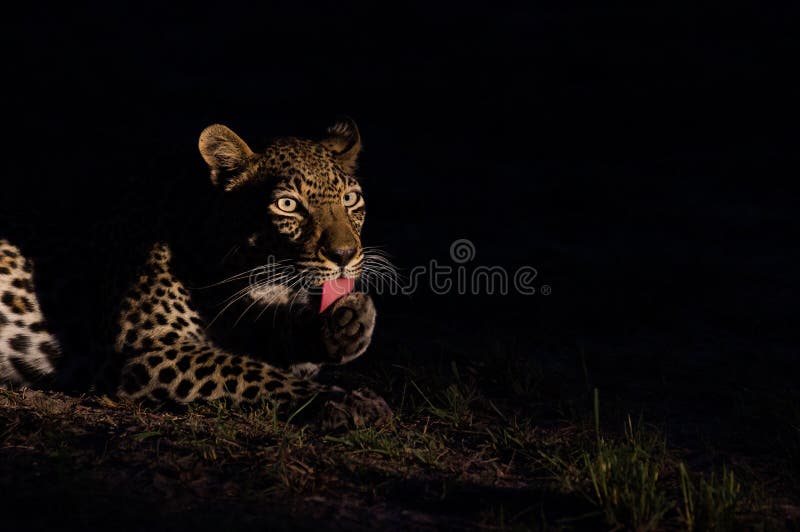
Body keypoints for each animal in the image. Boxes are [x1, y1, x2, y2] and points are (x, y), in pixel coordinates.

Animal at [0, 118, 392, 430]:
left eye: (350, 199)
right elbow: (251, 371)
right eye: (288, 205)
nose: (343, 254)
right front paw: (343, 400)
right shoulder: (146, 350)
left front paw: (347, 322)